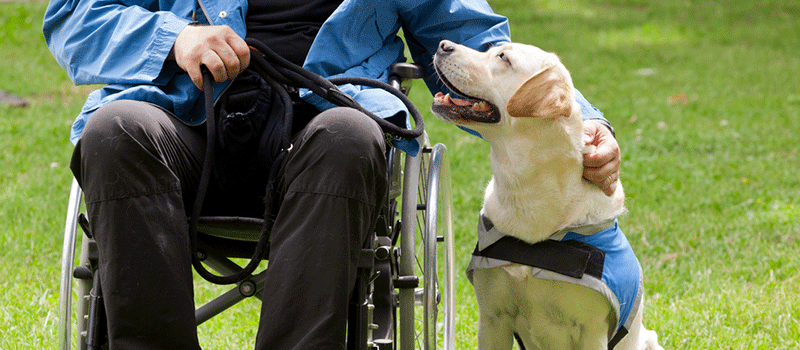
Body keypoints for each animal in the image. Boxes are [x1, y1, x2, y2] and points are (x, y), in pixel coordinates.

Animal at [432, 41, 664, 350]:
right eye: (491, 49)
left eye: (503, 58)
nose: (443, 45)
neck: (526, 188)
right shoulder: (493, 317)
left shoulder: (591, 331)